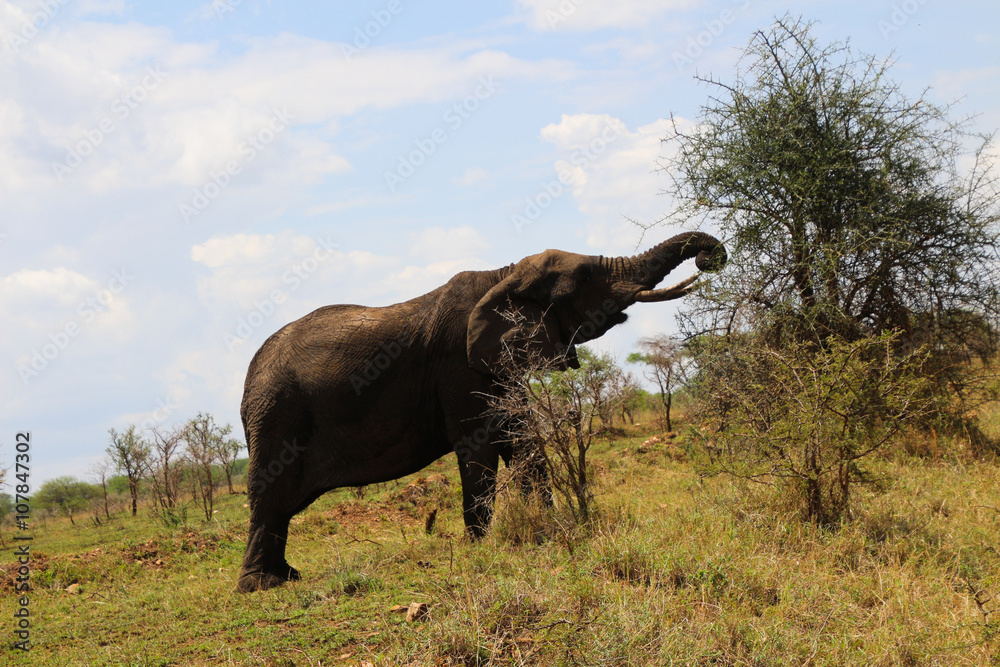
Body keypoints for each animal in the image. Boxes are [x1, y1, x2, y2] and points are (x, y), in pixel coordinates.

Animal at [236, 230, 726, 592]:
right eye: (585, 275)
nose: (708, 258)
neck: (502, 275)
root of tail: (249, 376)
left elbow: (523, 442)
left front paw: (546, 530)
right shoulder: (459, 365)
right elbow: (479, 447)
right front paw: (482, 548)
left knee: (281, 506)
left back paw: (286, 577)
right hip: (278, 414)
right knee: (270, 496)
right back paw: (262, 586)